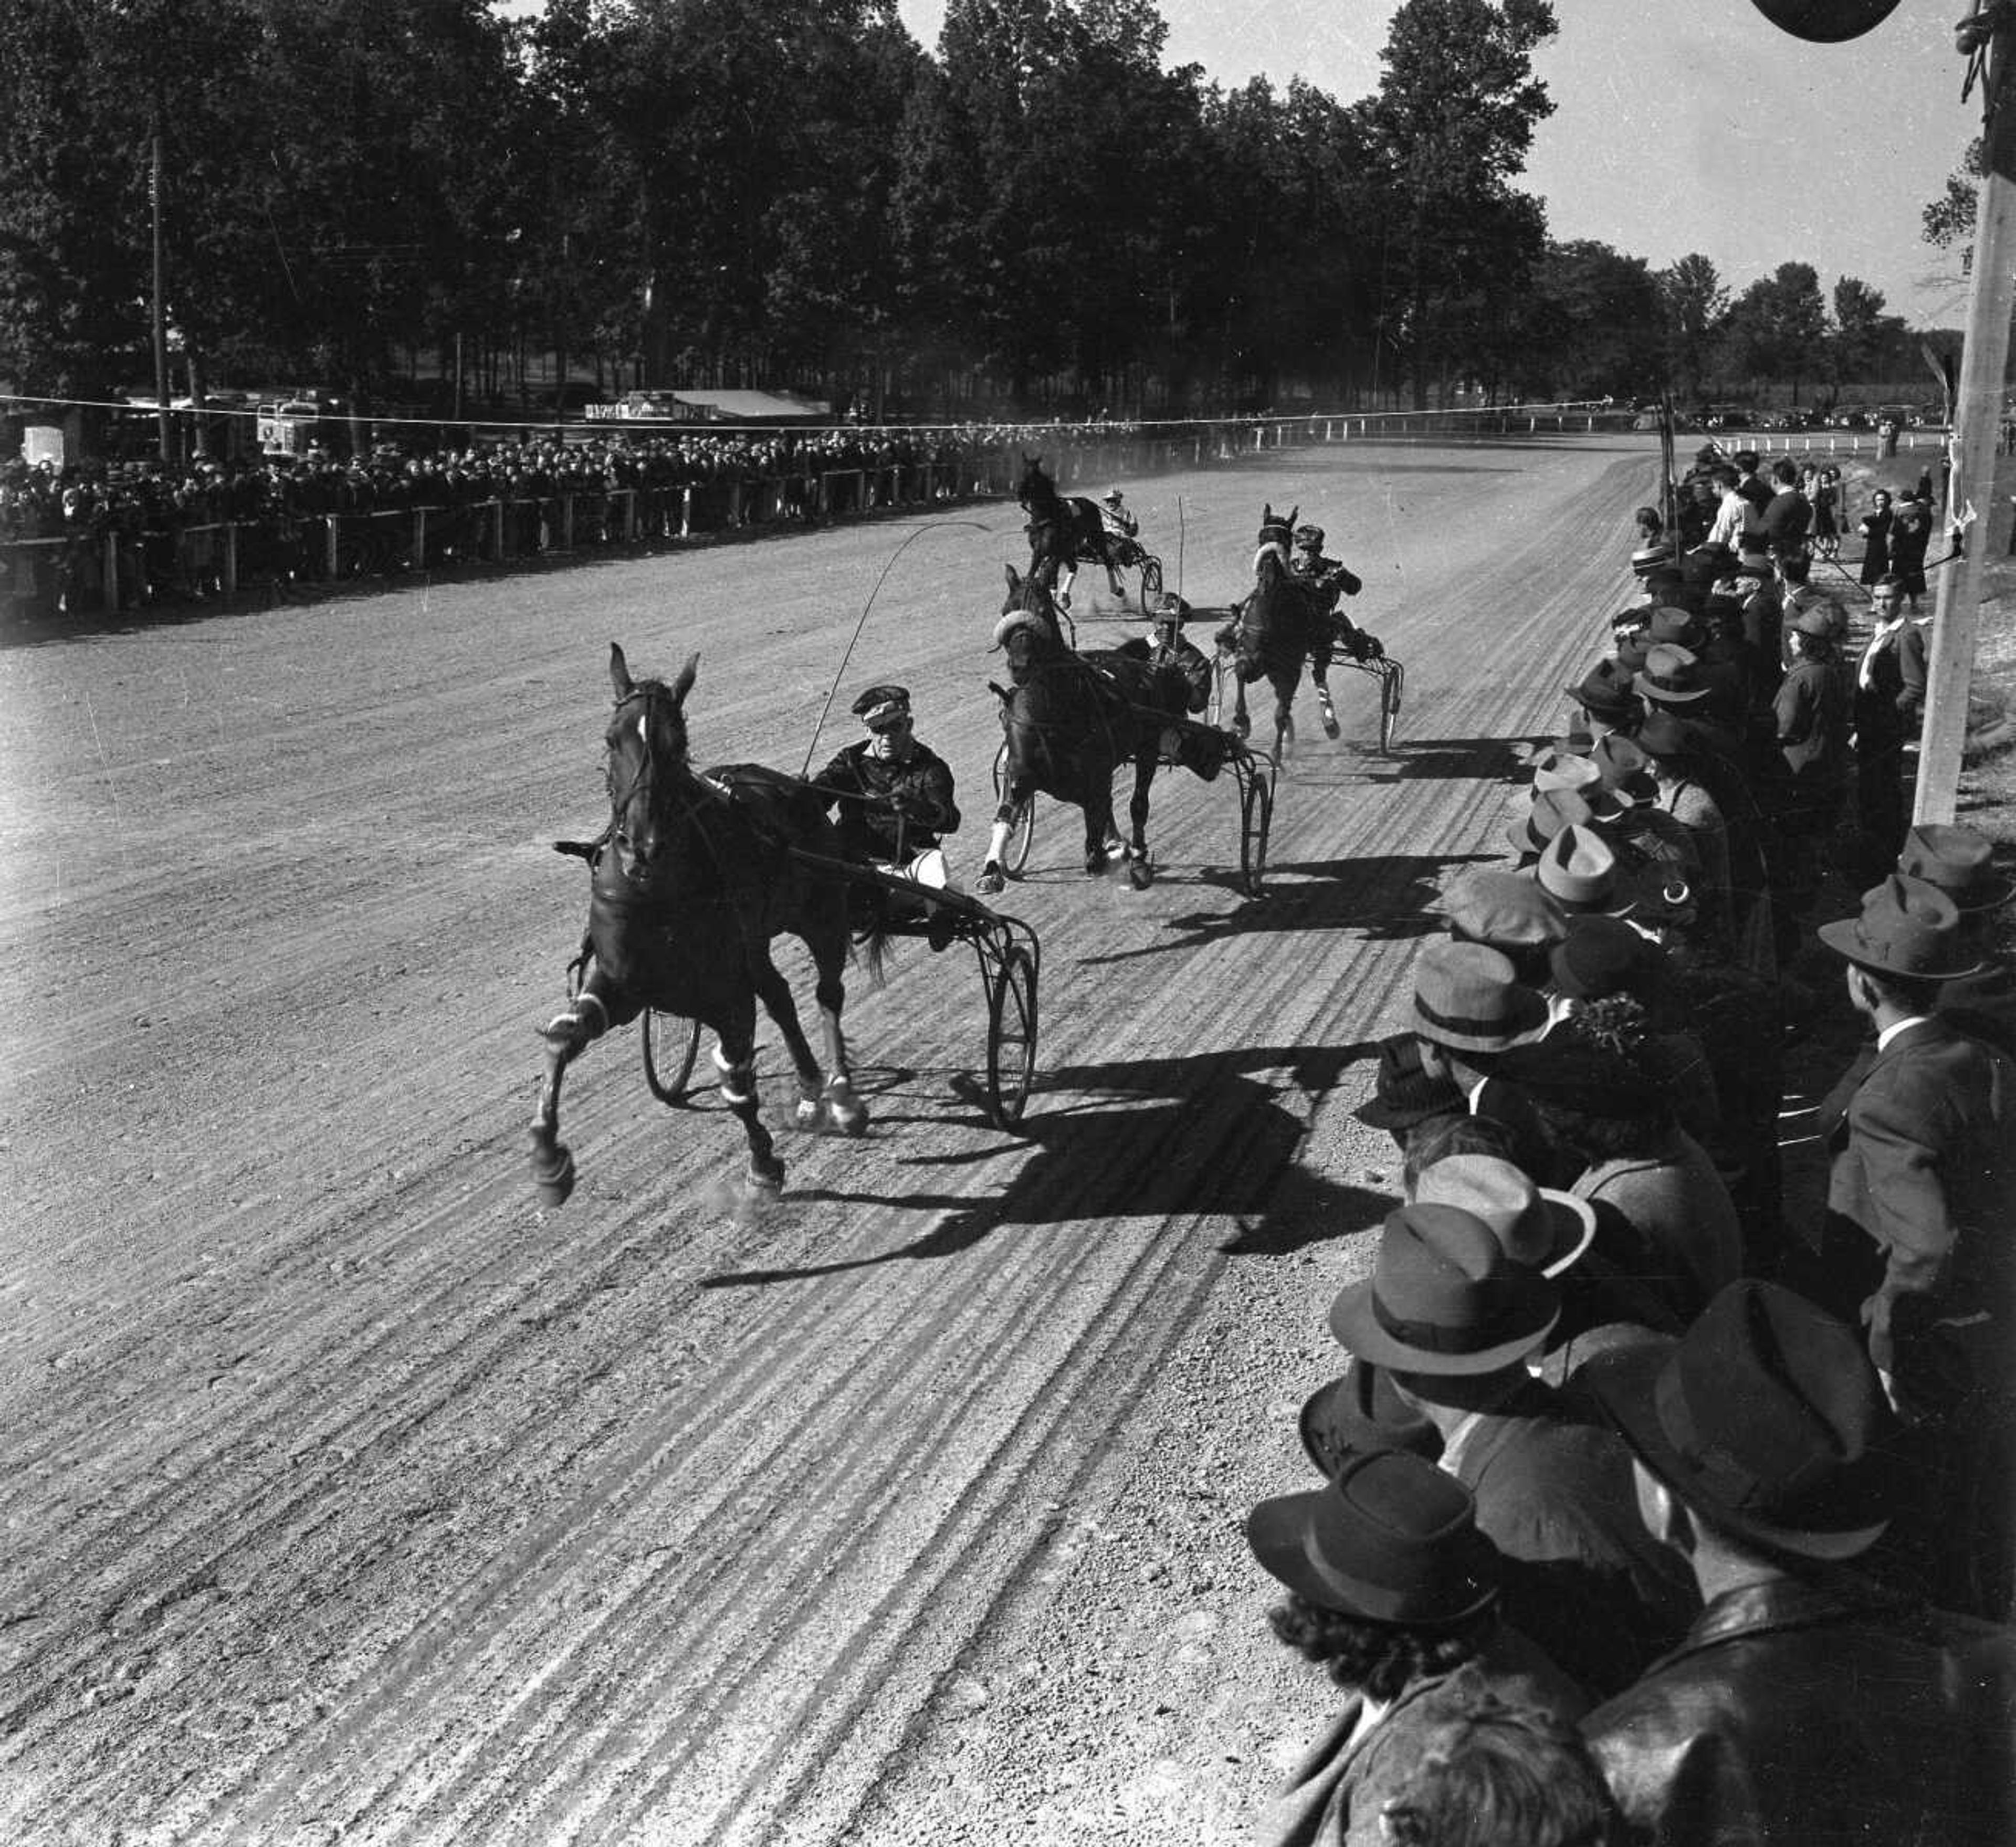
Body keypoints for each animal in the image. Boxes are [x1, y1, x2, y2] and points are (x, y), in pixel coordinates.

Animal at [532, 641, 887, 1202]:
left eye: (676, 745)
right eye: (612, 739)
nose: (641, 847)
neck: (657, 892)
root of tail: (795, 789)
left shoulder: (726, 994)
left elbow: (738, 1081)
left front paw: (763, 1166)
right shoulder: (621, 982)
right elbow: (562, 1039)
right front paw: (548, 1162)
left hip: (822, 915)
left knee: (827, 994)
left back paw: (841, 1095)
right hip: (757, 941)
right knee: (780, 994)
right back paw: (811, 1091)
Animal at [1016, 454, 1129, 605]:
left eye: (1034, 475)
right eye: (1022, 471)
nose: (1019, 492)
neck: (1046, 516)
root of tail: (1090, 503)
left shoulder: (1055, 554)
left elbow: (1047, 574)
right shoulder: (1039, 553)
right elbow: (1032, 576)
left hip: (1095, 539)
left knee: (1108, 562)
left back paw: (1116, 590)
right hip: (1068, 549)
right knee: (1073, 567)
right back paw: (1064, 596)